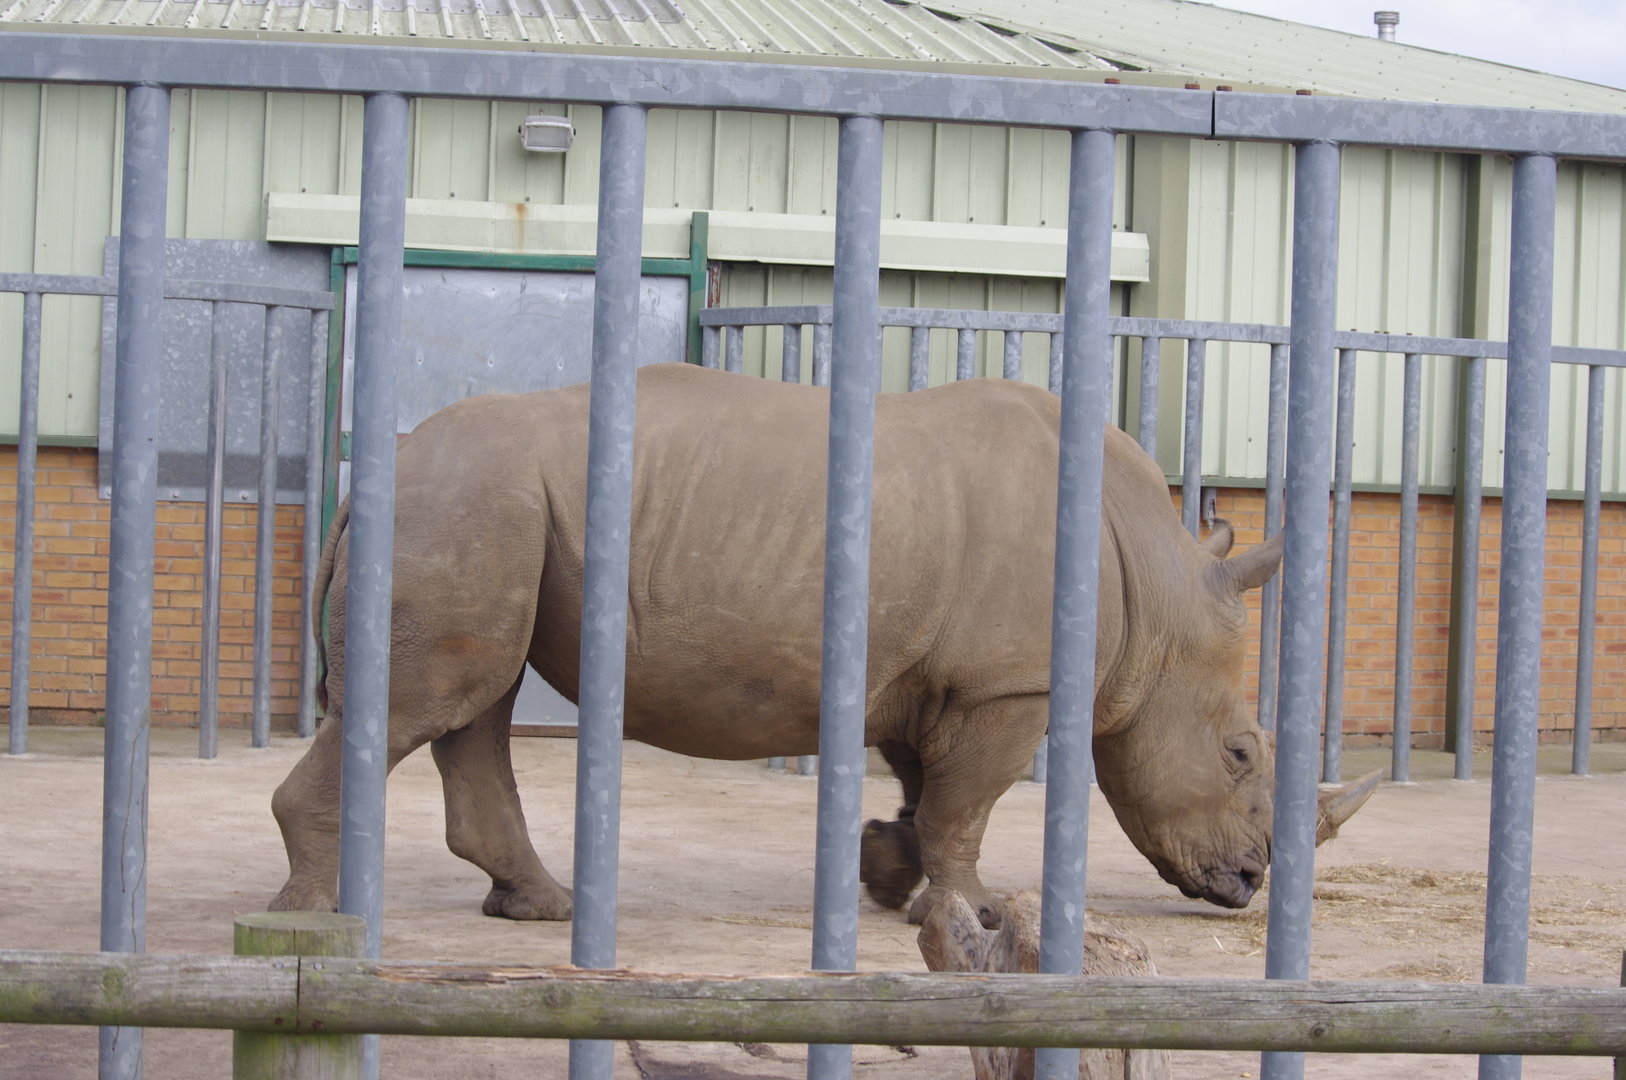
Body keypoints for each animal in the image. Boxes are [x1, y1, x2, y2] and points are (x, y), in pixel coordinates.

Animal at [270, 362, 1376, 929]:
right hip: (466, 504)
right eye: (1239, 754)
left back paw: (538, 906)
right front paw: (976, 914)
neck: (1151, 582)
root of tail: (386, 467)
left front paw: (888, 877)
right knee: (429, 706)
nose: (1249, 885)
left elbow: (929, 790)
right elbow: (968, 802)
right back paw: (315, 917)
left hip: (486, 512)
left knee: (474, 707)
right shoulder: (1006, 686)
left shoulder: (926, 672)